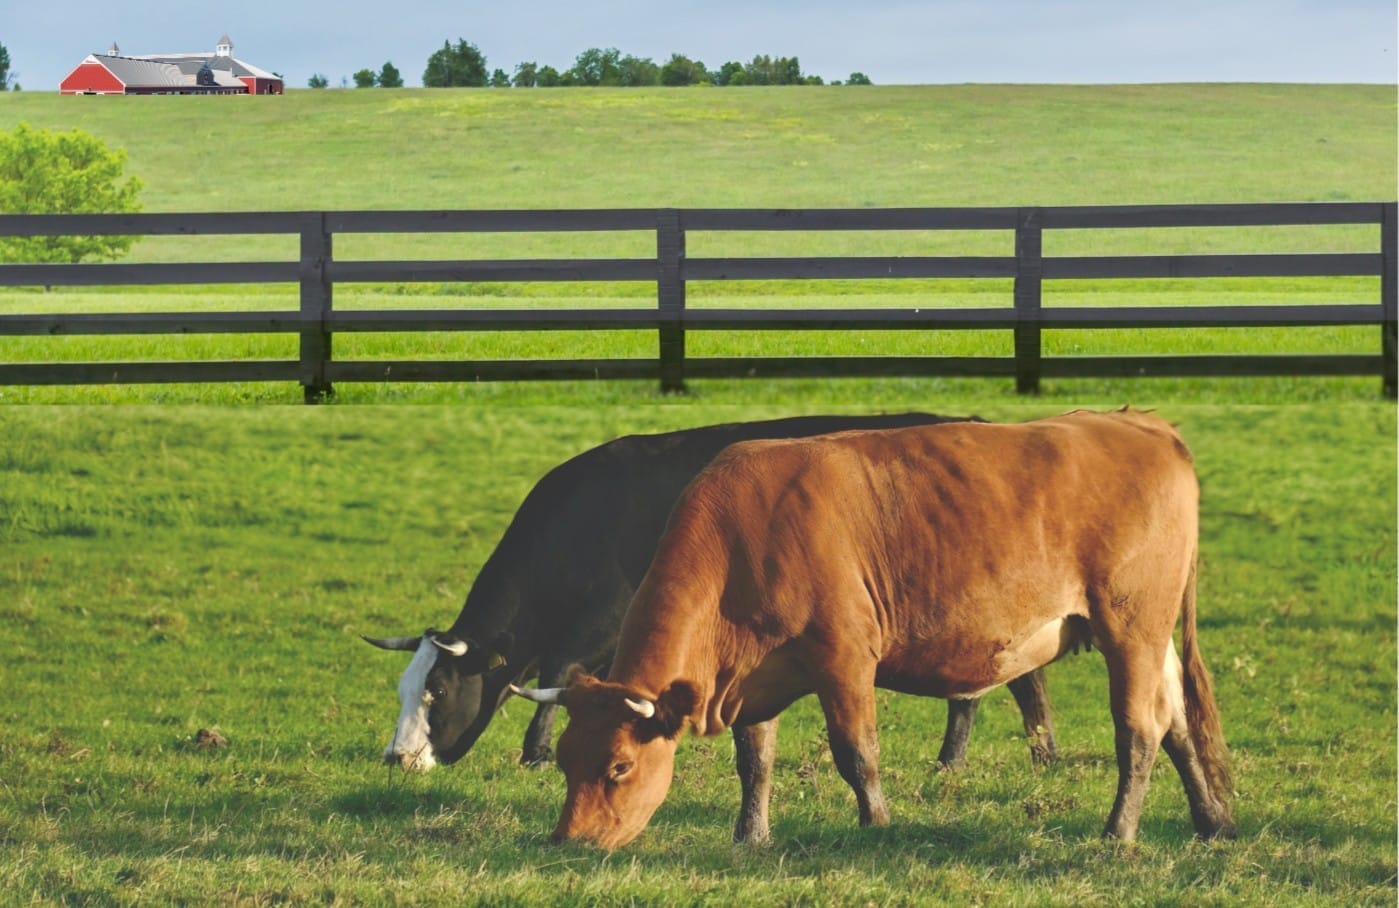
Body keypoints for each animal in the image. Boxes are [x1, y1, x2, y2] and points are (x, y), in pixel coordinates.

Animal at [364, 413, 1059, 843]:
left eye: (438, 691)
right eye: (403, 689)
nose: (397, 758)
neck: (582, 519)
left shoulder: (600, 624)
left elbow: (558, 676)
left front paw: (533, 752)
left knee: (1014, 682)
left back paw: (1015, 757)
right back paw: (978, 760)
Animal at [510, 409, 1235, 849]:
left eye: (619, 766)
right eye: (565, 760)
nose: (568, 840)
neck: (745, 537)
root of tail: (1139, 423)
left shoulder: (845, 658)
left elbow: (855, 751)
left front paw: (877, 823)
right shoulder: (751, 678)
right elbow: (755, 761)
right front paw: (750, 835)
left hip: (1130, 628)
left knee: (1138, 729)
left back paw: (1118, 830)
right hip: (1153, 636)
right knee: (1175, 722)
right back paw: (1209, 819)